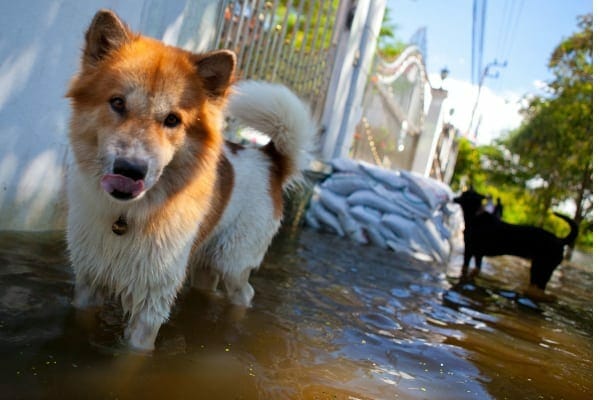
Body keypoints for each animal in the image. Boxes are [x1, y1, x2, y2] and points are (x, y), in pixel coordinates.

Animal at [67, 9, 314, 350]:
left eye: (173, 120)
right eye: (117, 103)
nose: (130, 170)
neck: (127, 217)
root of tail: (269, 158)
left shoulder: (151, 303)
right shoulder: (87, 282)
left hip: (233, 261)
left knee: (244, 293)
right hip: (206, 264)